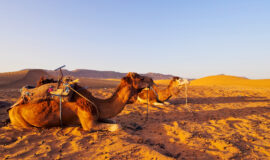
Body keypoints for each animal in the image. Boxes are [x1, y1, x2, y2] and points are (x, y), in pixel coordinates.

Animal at [8, 72, 154, 131]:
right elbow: (118, 126)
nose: (152, 79)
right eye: (140, 77)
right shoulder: (88, 124)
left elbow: (113, 121)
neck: (97, 103)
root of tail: (11, 109)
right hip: (20, 121)